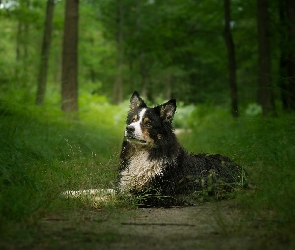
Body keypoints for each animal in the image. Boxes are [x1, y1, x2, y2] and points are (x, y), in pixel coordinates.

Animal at [118, 91, 247, 206]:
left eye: (148, 123)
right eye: (133, 120)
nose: (129, 128)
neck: (144, 153)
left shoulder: (160, 195)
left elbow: (124, 197)